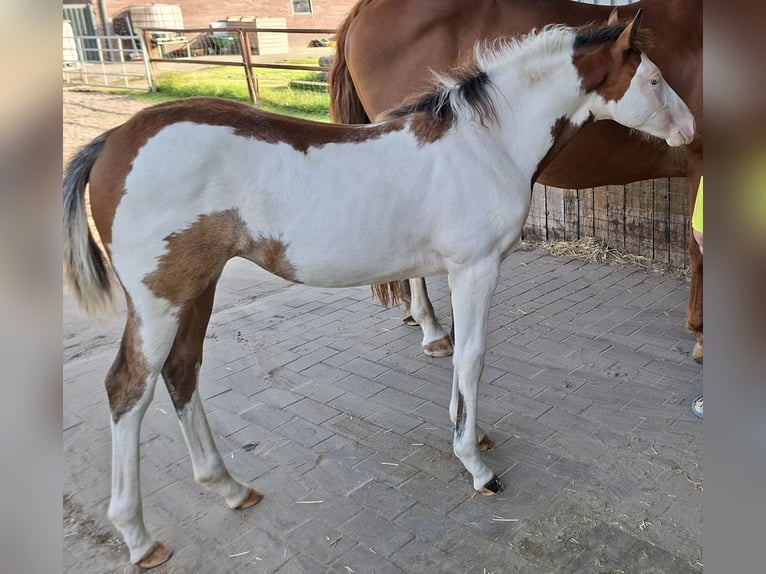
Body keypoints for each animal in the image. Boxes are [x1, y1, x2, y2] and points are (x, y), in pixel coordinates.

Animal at [330, 0, 704, 361]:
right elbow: (698, 251)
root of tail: (363, 9)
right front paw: (700, 336)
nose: (691, 126)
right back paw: (432, 331)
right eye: (655, 80)